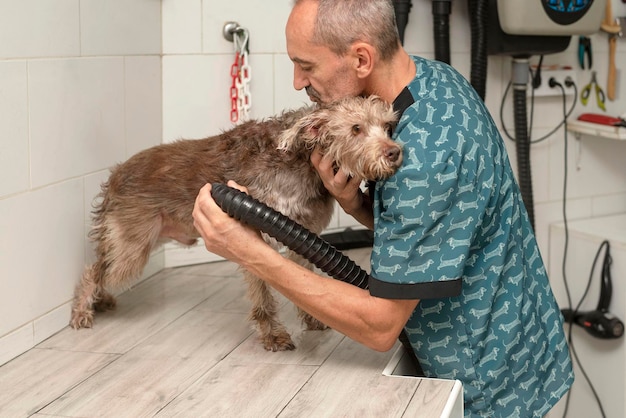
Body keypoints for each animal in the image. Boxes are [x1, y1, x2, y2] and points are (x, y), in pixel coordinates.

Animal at [68, 94, 400, 350]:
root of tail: (116, 174)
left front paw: (311, 319)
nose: (395, 152)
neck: (301, 161)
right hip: (133, 249)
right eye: (356, 129)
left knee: (101, 265)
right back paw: (82, 310)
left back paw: (99, 301)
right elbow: (263, 295)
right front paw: (273, 335)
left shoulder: (304, 236)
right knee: (94, 271)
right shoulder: (257, 236)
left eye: (387, 126)